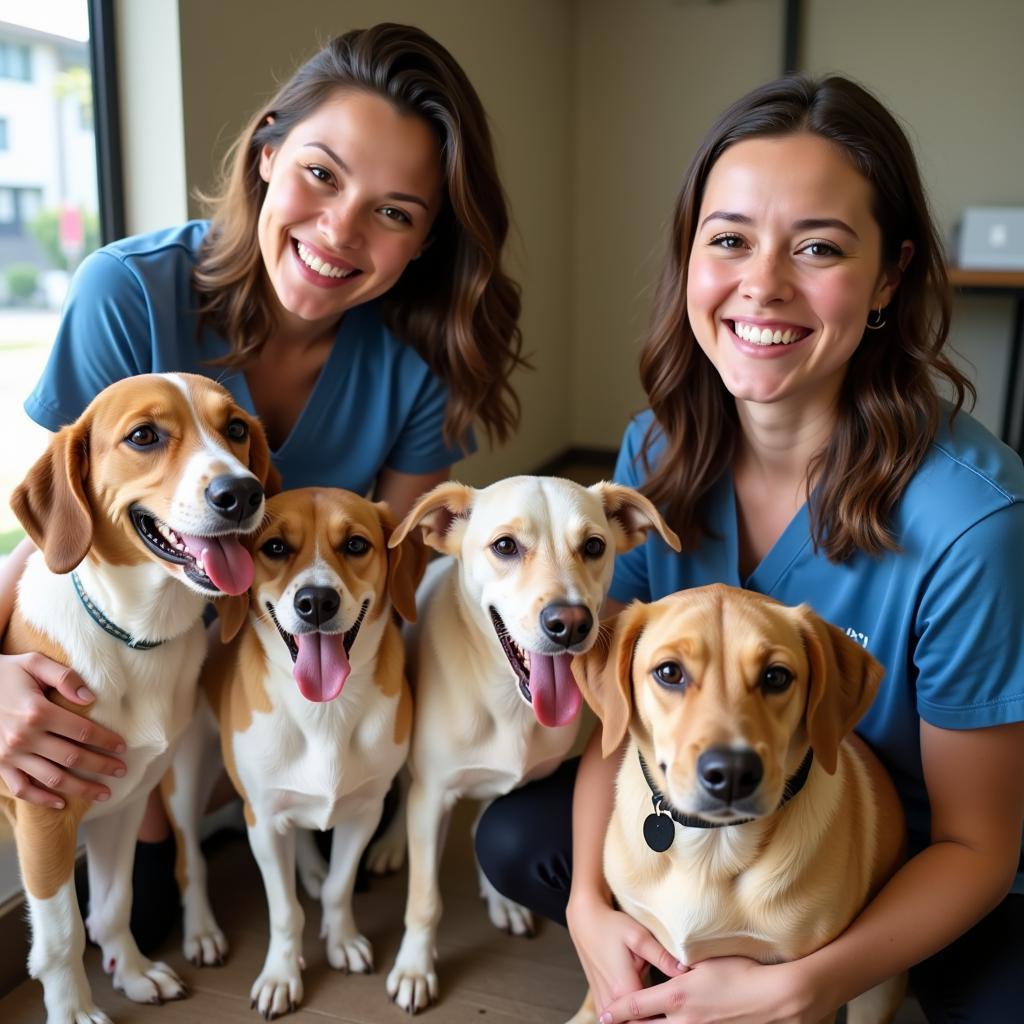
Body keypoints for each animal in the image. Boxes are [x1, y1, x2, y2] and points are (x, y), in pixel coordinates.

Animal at [1, 372, 272, 1024]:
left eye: (236, 428)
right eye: (144, 436)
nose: (242, 493)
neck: (135, 637)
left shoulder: (120, 803)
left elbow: (113, 903)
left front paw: (130, 971)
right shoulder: (44, 815)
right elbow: (63, 935)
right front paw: (73, 1011)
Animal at [162, 485, 423, 1015]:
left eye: (356, 545)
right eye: (276, 547)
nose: (316, 601)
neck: (324, 712)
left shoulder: (364, 811)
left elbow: (341, 887)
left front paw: (341, 938)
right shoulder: (261, 819)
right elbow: (285, 912)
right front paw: (281, 976)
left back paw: (312, 869)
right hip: (185, 780)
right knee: (190, 862)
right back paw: (201, 931)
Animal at [378, 475, 679, 1011]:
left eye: (594, 546)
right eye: (505, 546)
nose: (571, 623)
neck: (508, 704)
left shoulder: (518, 783)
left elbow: (485, 835)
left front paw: (501, 899)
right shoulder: (433, 796)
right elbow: (425, 899)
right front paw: (414, 969)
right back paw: (392, 844)